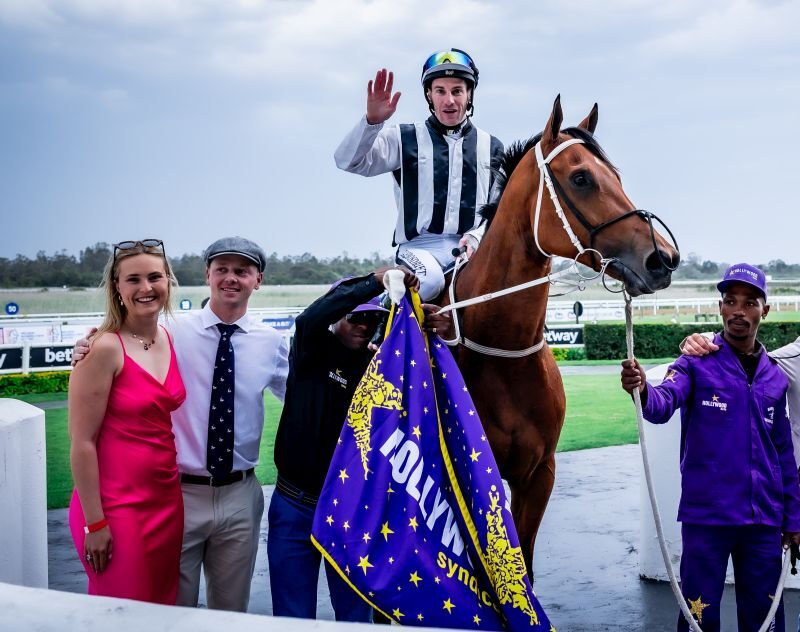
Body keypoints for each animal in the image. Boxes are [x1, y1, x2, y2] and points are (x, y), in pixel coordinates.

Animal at [439, 95, 680, 578]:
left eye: (616, 175)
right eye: (581, 177)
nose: (663, 258)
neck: (502, 351)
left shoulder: (538, 474)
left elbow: (524, 568)